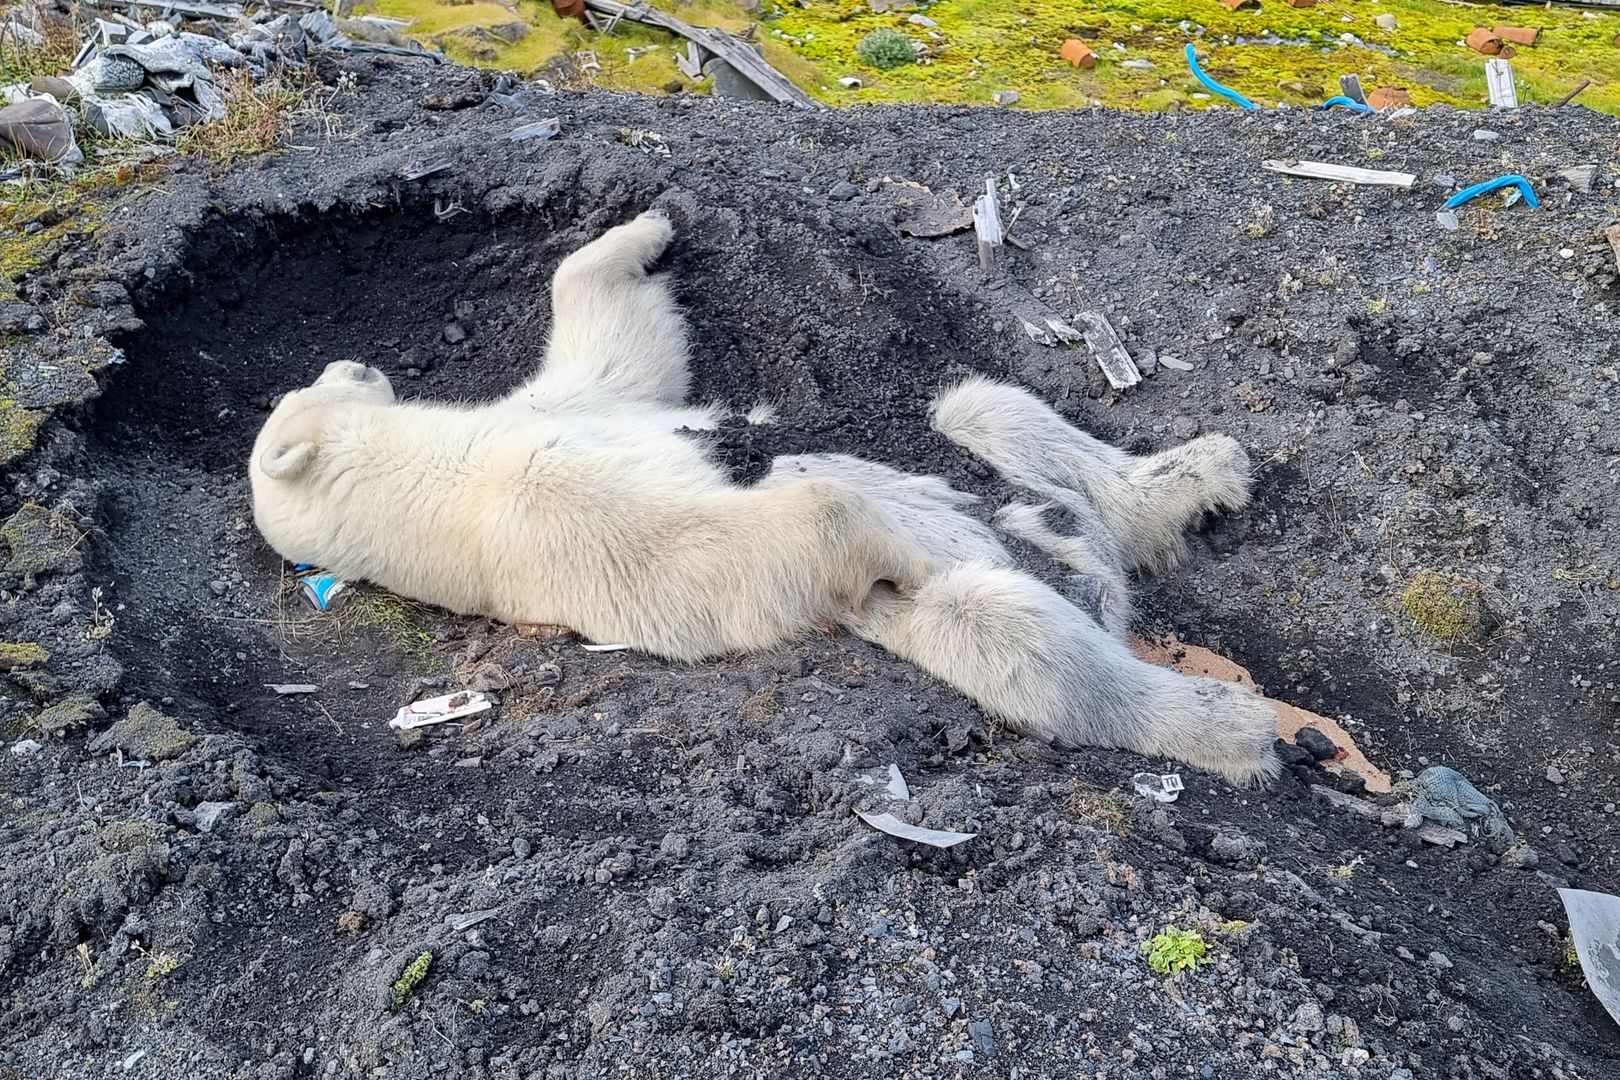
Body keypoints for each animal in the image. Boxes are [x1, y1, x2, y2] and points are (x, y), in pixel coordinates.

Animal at [249, 210, 1276, 786]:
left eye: (328, 374)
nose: (356, 358)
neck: (442, 467)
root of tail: (1093, 572)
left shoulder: (566, 408)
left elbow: (619, 340)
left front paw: (653, 223)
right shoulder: (531, 519)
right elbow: (729, 545)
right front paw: (875, 532)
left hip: (968, 439)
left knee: (983, 407)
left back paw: (1193, 481)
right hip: (995, 611)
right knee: (1019, 637)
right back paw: (1229, 721)